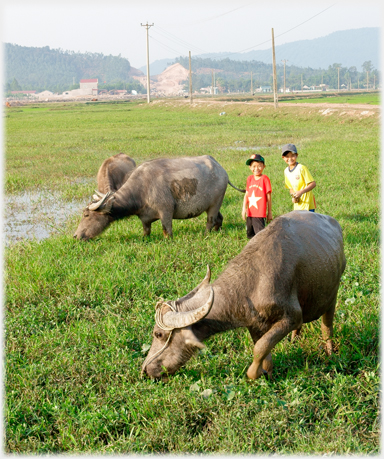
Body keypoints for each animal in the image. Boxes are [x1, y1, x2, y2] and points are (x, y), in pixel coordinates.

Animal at [73, 155, 244, 241]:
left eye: (86, 215)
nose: (75, 236)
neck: (141, 190)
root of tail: (220, 169)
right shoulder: (145, 218)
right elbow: (146, 231)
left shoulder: (166, 212)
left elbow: (166, 230)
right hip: (214, 204)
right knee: (219, 218)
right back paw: (217, 231)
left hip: (215, 204)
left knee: (210, 220)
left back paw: (206, 234)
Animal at [142, 212, 346, 380]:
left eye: (158, 334)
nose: (145, 370)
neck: (252, 283)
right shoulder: (254, 324)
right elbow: (263, 348)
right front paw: (268, 372)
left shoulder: (291, 317)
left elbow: (261, 347)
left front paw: (253, 374)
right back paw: (294, 340)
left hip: (333, 295)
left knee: (327, 326)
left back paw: (330, 352)